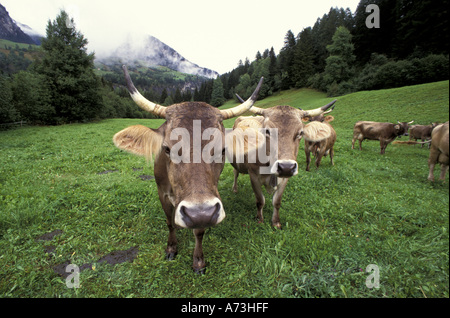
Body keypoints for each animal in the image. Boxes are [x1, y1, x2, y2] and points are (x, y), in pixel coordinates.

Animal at [112, 65, 264, 274]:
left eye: (222, 149)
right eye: (167, 149)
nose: (200, 213)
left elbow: (199, 231)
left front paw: (198, 261)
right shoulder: (162, 193)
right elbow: (169, 223)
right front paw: (171, 248)